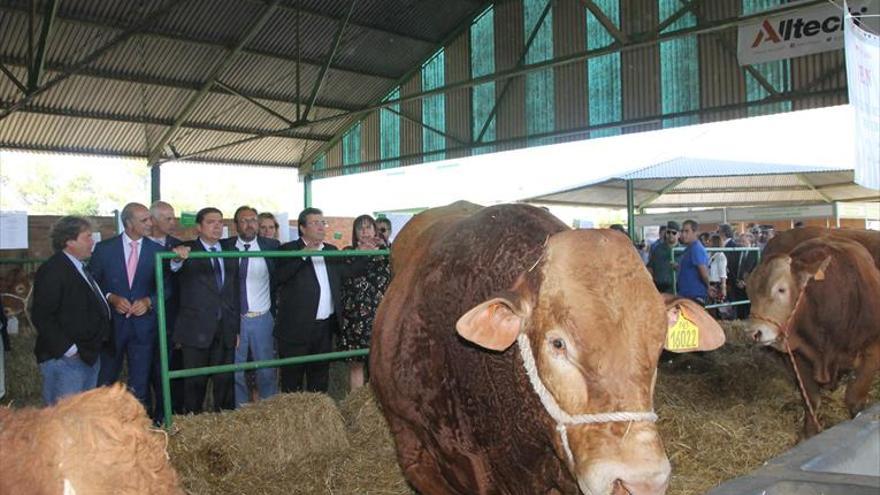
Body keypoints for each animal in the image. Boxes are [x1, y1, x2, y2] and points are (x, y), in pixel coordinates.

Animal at [744, 238, 880, 436]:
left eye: (781, 289)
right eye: (748, 292)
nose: (753, 333)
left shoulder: (872, 353)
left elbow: (854, 399)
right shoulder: (799, 357)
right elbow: (812, 400)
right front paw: (808, 433)